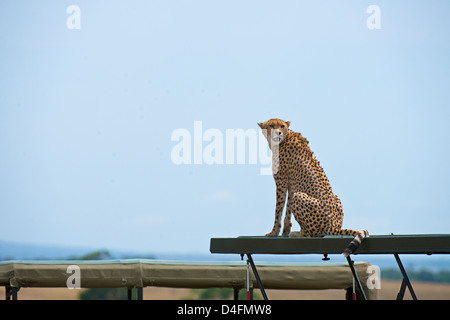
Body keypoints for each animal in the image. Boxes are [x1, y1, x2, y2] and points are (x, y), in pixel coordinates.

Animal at [258, 119, 368, 256]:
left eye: (282, 126)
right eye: (271, 125)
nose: (278, 133)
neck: (284, 139)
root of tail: (333, 225)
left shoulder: (282, 183)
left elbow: (278, 210)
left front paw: (274, 232)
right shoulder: (291, 186)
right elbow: (287, 211)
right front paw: (284, 232)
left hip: (299, 197)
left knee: (311, 234)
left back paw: (297, 234)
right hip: (334, 197)